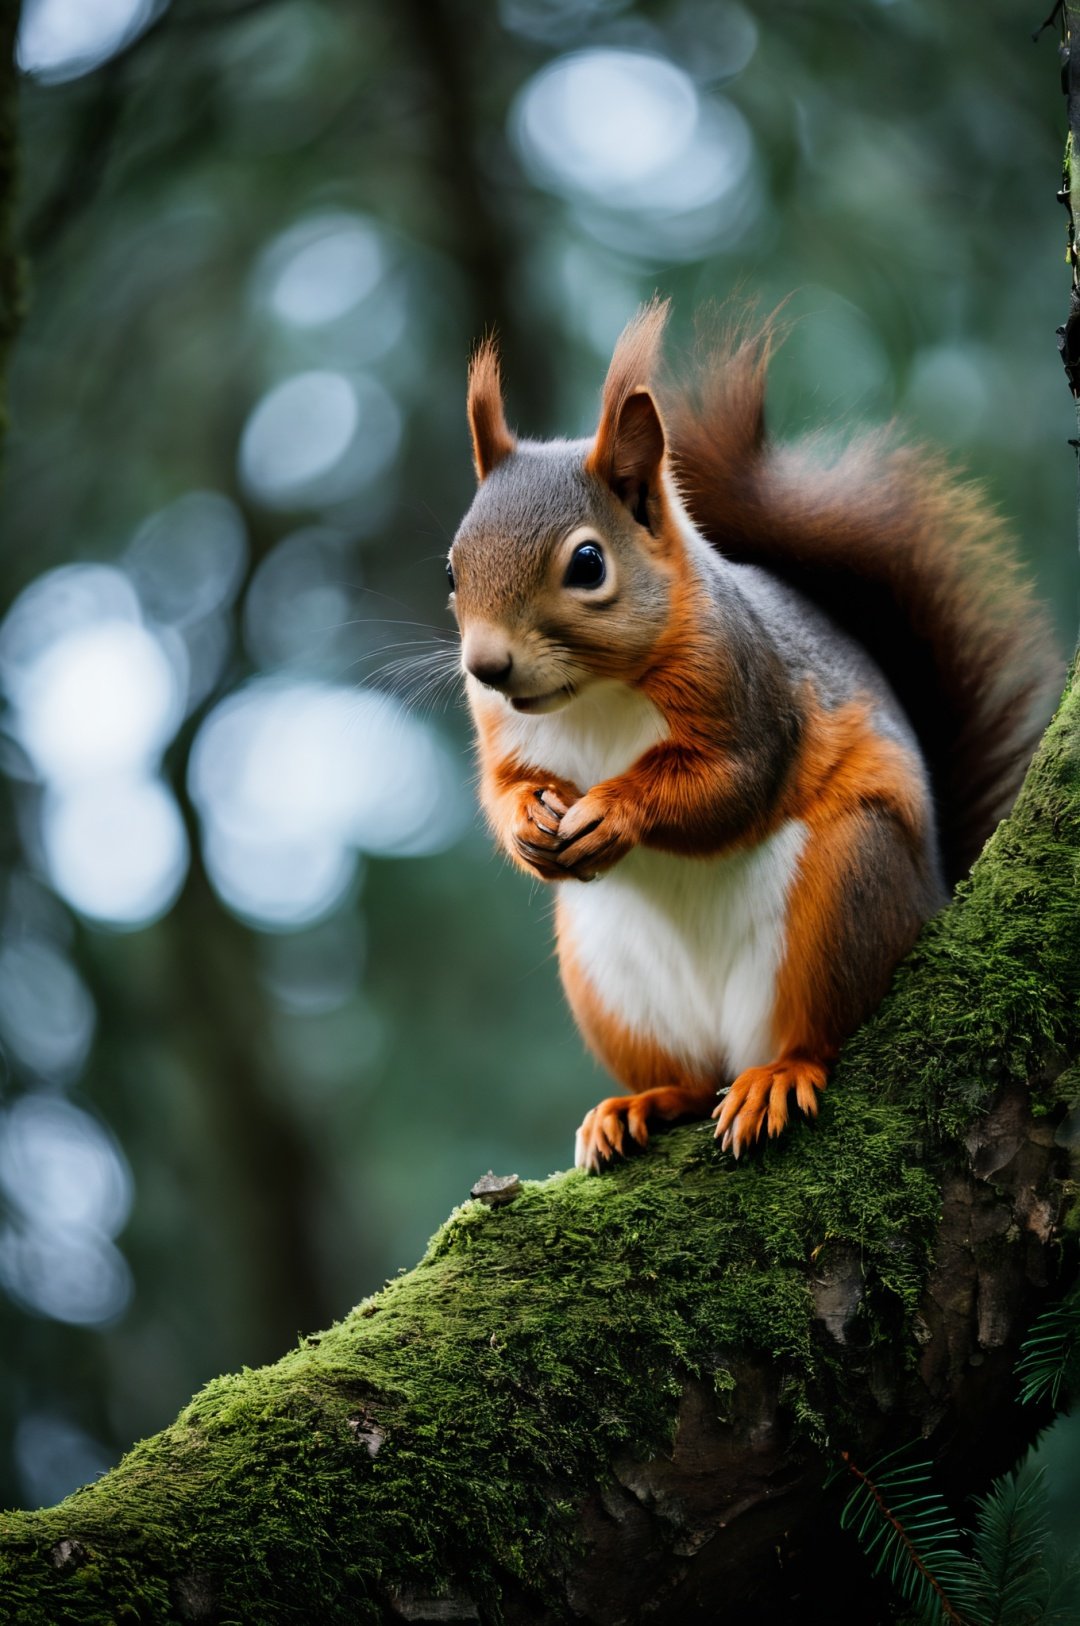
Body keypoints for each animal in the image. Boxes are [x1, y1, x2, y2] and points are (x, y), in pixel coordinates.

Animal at [445, 302, 1053, 1170]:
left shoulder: (753, 700)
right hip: (610, 979)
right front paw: (531, 820)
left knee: (814, 1036)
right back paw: (639, 1105)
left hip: (843, 898)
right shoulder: (504, 734)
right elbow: (502, 791)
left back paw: (775, 1078)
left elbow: (727, 788)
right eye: (451, 571)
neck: (592, 696)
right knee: (692, 1081)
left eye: (588, 564)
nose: (486, 667)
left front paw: (616, 810)